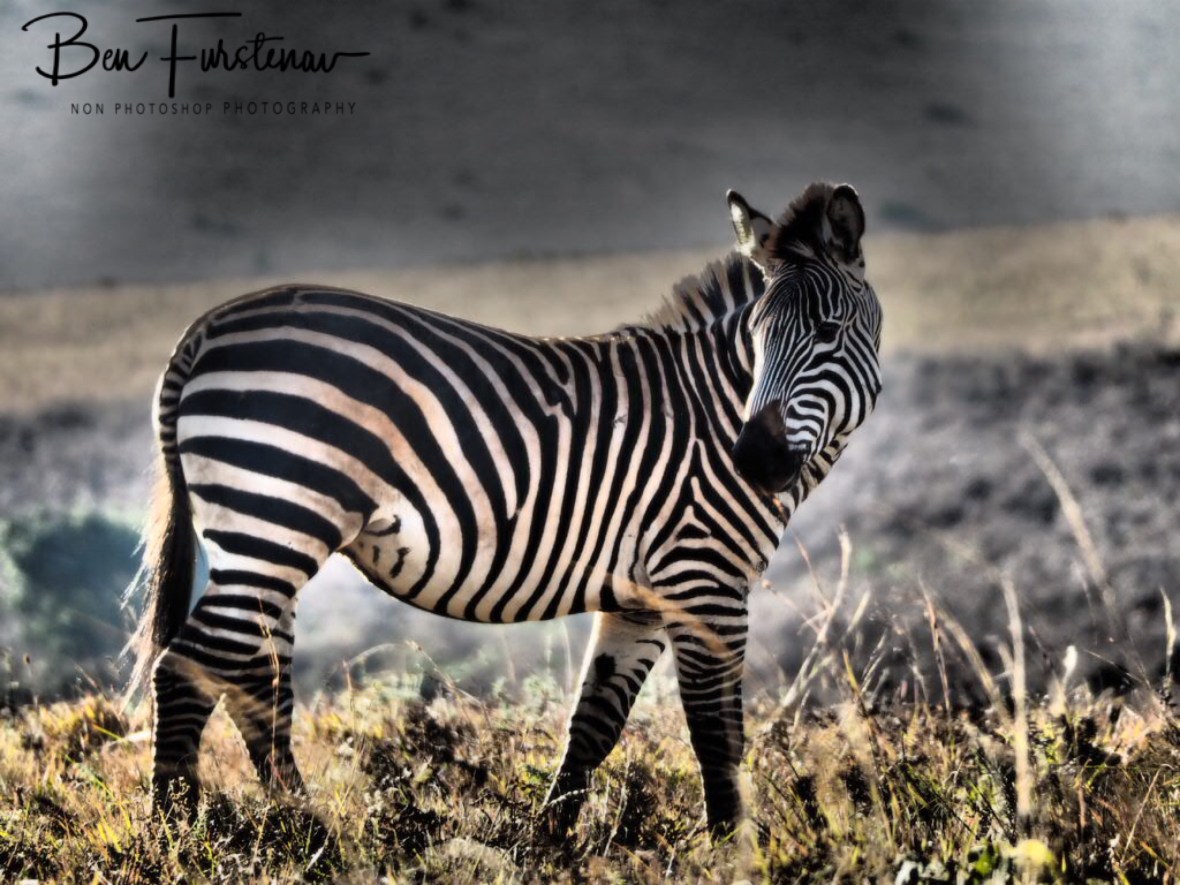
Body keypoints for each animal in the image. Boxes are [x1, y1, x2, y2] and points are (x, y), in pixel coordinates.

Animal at [126, 181, 883, 837]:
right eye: (757, 336)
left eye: (829, 331)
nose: (753, 460)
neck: (717, 403)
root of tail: (204, 328)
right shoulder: (707, 582)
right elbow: (716, 733)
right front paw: (732, 848)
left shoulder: (640, 598)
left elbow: (595, 723)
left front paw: (549, 841)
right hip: (275, 519)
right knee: (187, 668)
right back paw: (177, 833)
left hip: (268, 541)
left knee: (253, 679)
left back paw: (303, 832)